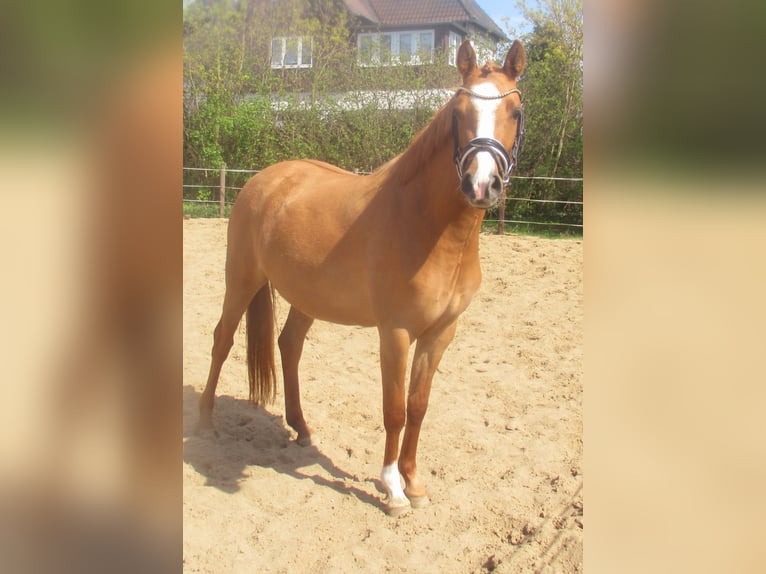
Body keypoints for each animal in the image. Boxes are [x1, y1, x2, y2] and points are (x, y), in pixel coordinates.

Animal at [198, 39, 527, 516]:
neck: (427, 226)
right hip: (240, 279)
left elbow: (418, 405)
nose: (480, 185)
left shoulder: (441, 333)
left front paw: (414, 482)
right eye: (458, 111)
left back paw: (301, 428)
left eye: (515, 112)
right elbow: (394, 409)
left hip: (306, 296)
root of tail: (266, 179)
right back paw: (205, 422)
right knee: (222, 340)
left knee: (288, 345)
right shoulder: (396, 332)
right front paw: (392, 489)